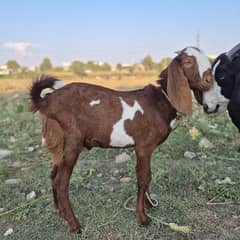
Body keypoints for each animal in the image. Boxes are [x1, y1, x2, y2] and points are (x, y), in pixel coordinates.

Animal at [29, 46, 212, 232]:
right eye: (188, 62)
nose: (209, 80)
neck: (160, 101)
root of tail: (46, 101)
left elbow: (148, 176)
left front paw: (149, 204)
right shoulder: (143, 146)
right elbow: (143, 178)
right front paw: (143, 217)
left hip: (58, 144)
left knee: (53, 175)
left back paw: (61, 214)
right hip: (72, 141)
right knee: (61, 182)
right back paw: (74, 225)